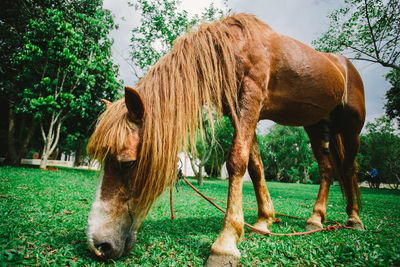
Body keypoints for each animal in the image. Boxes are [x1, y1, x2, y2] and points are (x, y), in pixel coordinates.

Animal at [85, 14, 366, 266]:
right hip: (315, 125)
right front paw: (263, 221)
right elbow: (255, 167)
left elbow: (236, 162)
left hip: (352, 128)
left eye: (128, 162)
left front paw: (226, 242)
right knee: (327, 170)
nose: (98, 245)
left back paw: (353, 218)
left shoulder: (251, 98)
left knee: (349, 169)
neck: (235, 47)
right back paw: (316, 218)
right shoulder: (238, 110)